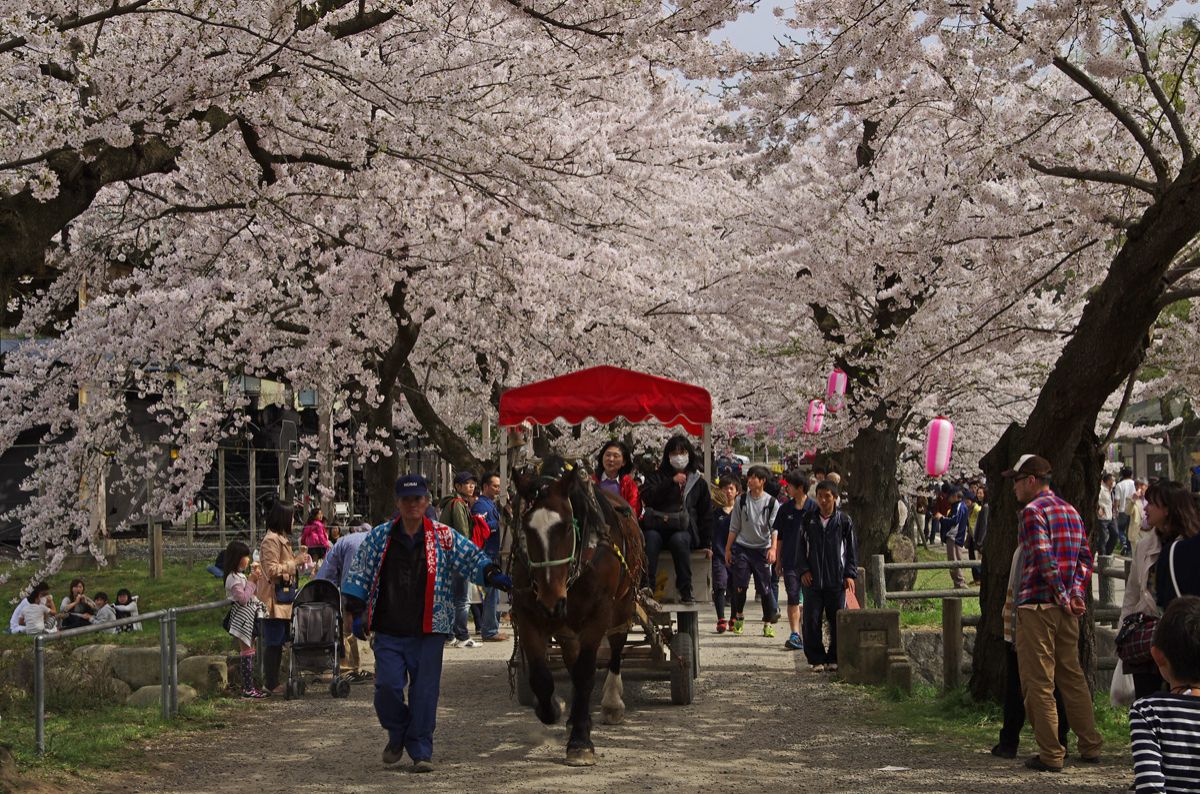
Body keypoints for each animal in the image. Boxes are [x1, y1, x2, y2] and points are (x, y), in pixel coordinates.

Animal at [511, 462, 652, 767]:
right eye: (527, 528)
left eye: (565, 526)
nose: (551, 601)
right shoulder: (527, 612)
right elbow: (540, 677)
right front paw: (553, 708)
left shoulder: (599, 613)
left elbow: (586, 673)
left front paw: (580, 742)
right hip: (567, 624)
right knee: (571, 659)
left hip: (623, 603)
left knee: (616, 646)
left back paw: (610, 703)